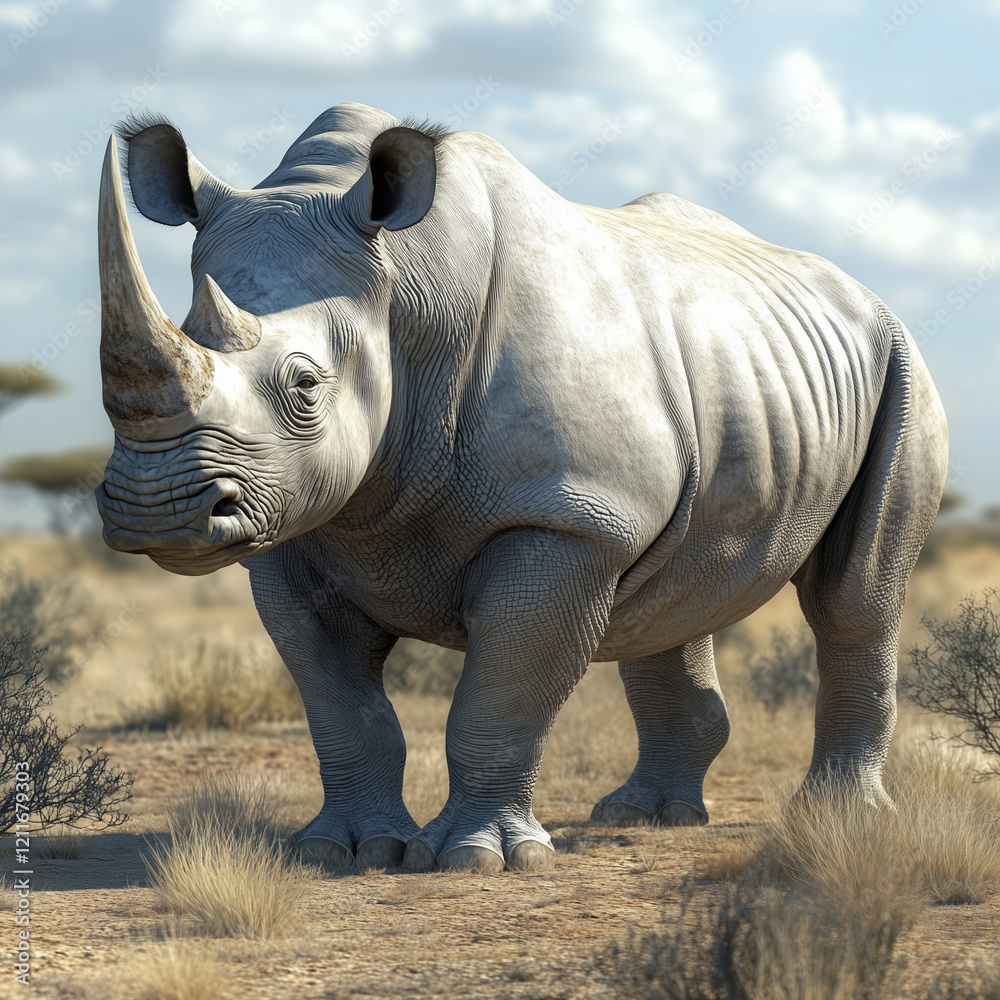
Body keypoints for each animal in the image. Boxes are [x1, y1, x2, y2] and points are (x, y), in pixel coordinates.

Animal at [95, 102, 948, 872]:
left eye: (305, 386)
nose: (155, 512)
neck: (404, 293)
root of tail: (864, 294)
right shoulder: (293, 528)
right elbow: (342, 708)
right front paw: (343, 850)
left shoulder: (566, 515)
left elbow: (500, 693)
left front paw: (478, 859)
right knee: (673, 592)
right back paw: (645, 817)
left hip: (902, 365)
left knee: (853, 597)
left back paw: (841, 819)